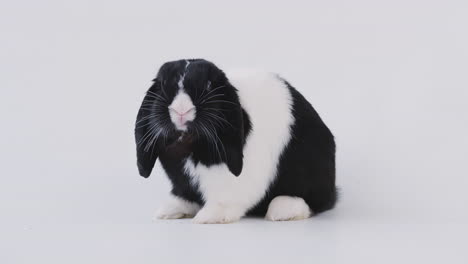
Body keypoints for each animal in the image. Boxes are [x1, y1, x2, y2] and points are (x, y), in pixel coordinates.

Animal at [135, 58, 336, 224]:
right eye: (162, 84)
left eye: (208, 85)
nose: (181, 110)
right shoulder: (181, 180)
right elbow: (184, 195)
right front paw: (170, 211)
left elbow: (225, 198)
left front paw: (209, 217)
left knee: (313, 201)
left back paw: (282, 211)